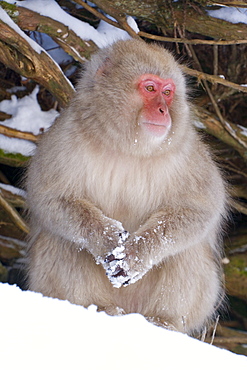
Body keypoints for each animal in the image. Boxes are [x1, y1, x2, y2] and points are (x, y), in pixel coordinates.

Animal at [26, 39, 228, 334]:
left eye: (168, 92)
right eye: (150, 88)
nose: (164, 111)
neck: (128, 147)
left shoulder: (187, 150)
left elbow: (198, 210)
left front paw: (135, 253)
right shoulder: (64, 137)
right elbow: (50, 198)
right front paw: (106, 237)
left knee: (188, 248)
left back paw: (163, 321)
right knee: (63, 238)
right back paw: (98, 307)